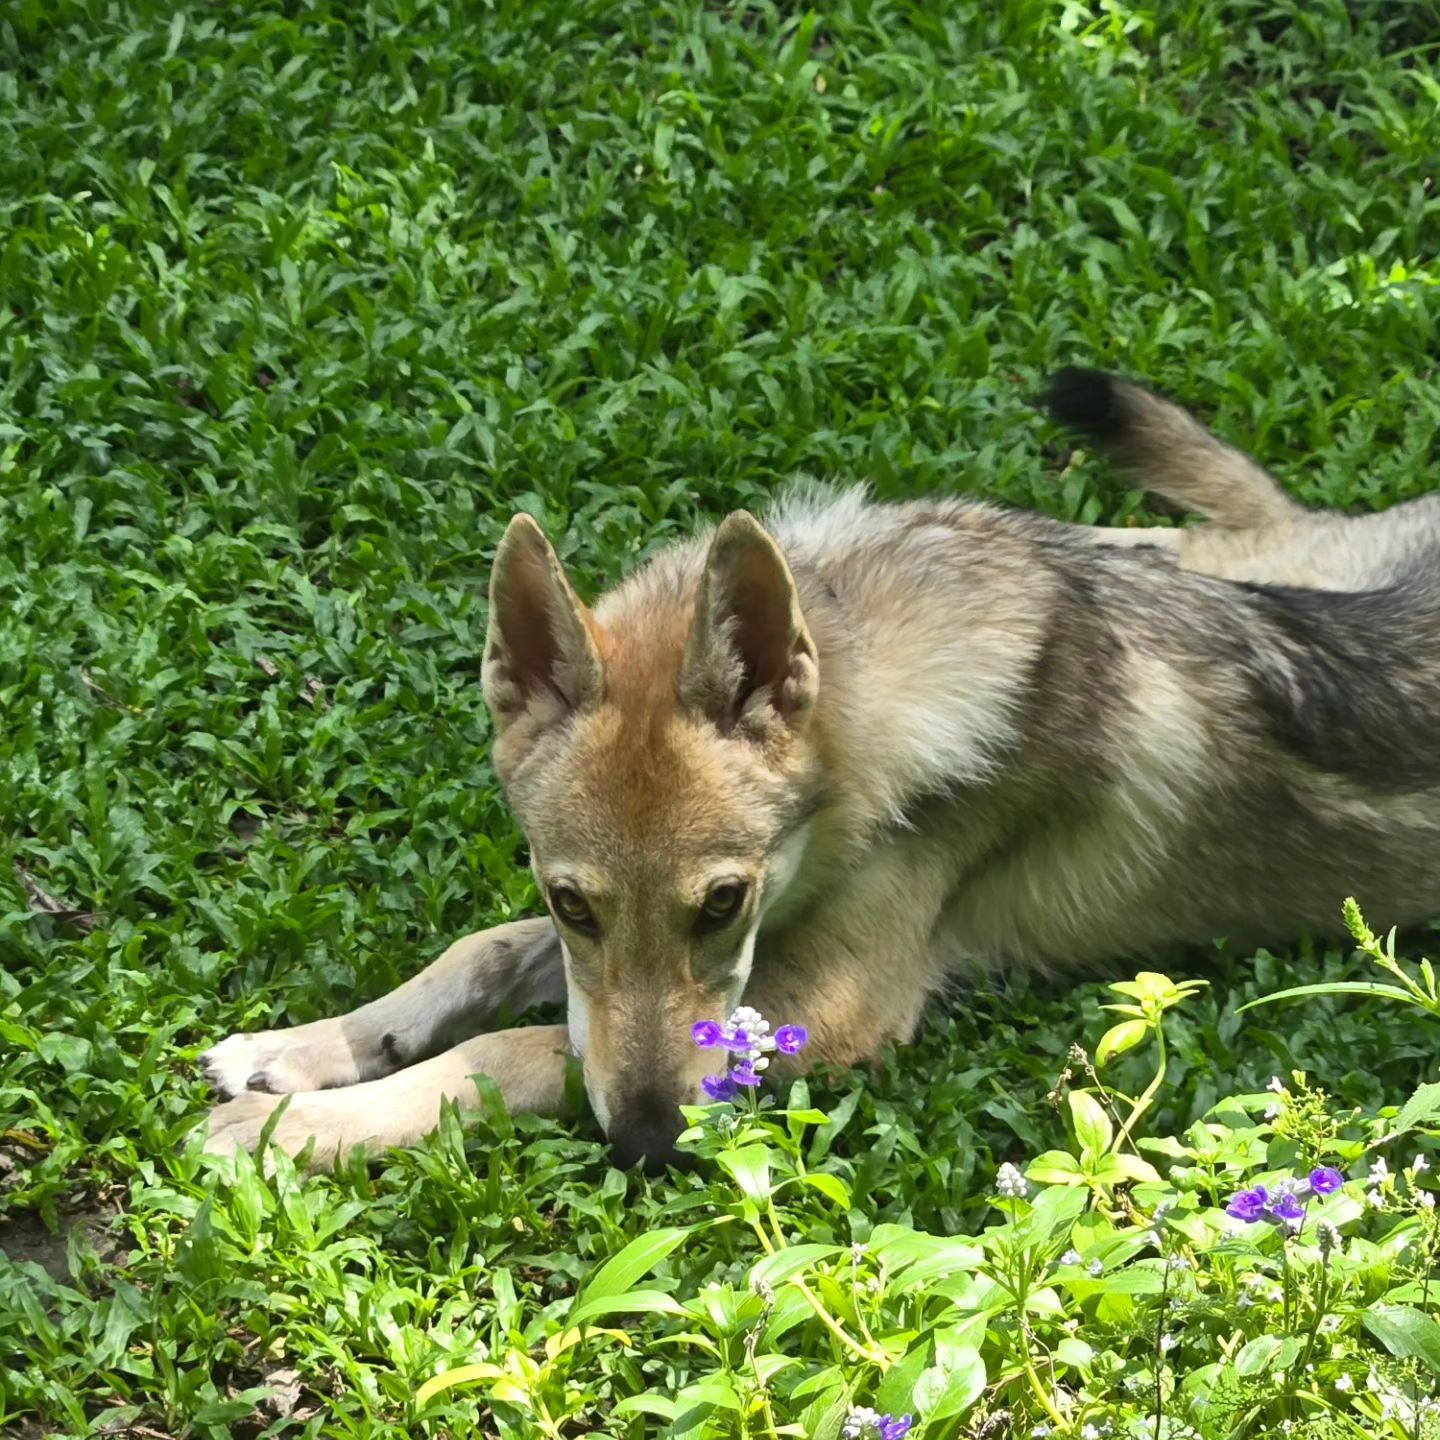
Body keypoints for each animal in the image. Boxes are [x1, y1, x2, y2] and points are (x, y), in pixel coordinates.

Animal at [200, 368, 1440, 1169]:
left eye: (723, 902)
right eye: (574, 903)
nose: (649, 1148)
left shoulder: (828, 1010)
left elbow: (514, 1050)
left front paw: (297, 1132)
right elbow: (483, 956)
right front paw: (304, 1051)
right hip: (1234, 551)